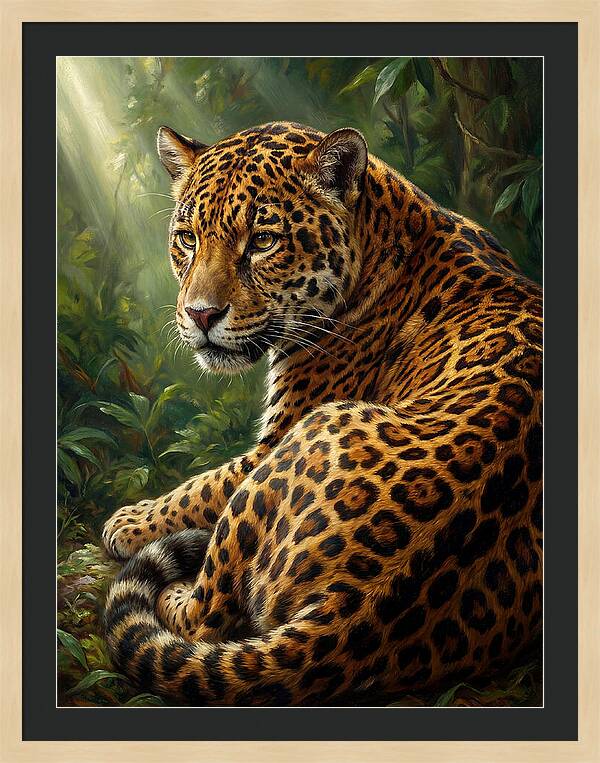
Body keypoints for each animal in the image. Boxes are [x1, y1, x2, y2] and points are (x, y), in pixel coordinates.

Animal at [102, 121, 542, 706]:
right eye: (188, 238)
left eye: (262, 241)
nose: (200, 314)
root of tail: (353, 610)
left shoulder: (278, 435)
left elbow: (202, 486)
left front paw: (130, 521)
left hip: (304, 439)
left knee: (206, 617)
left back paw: (175, 587)